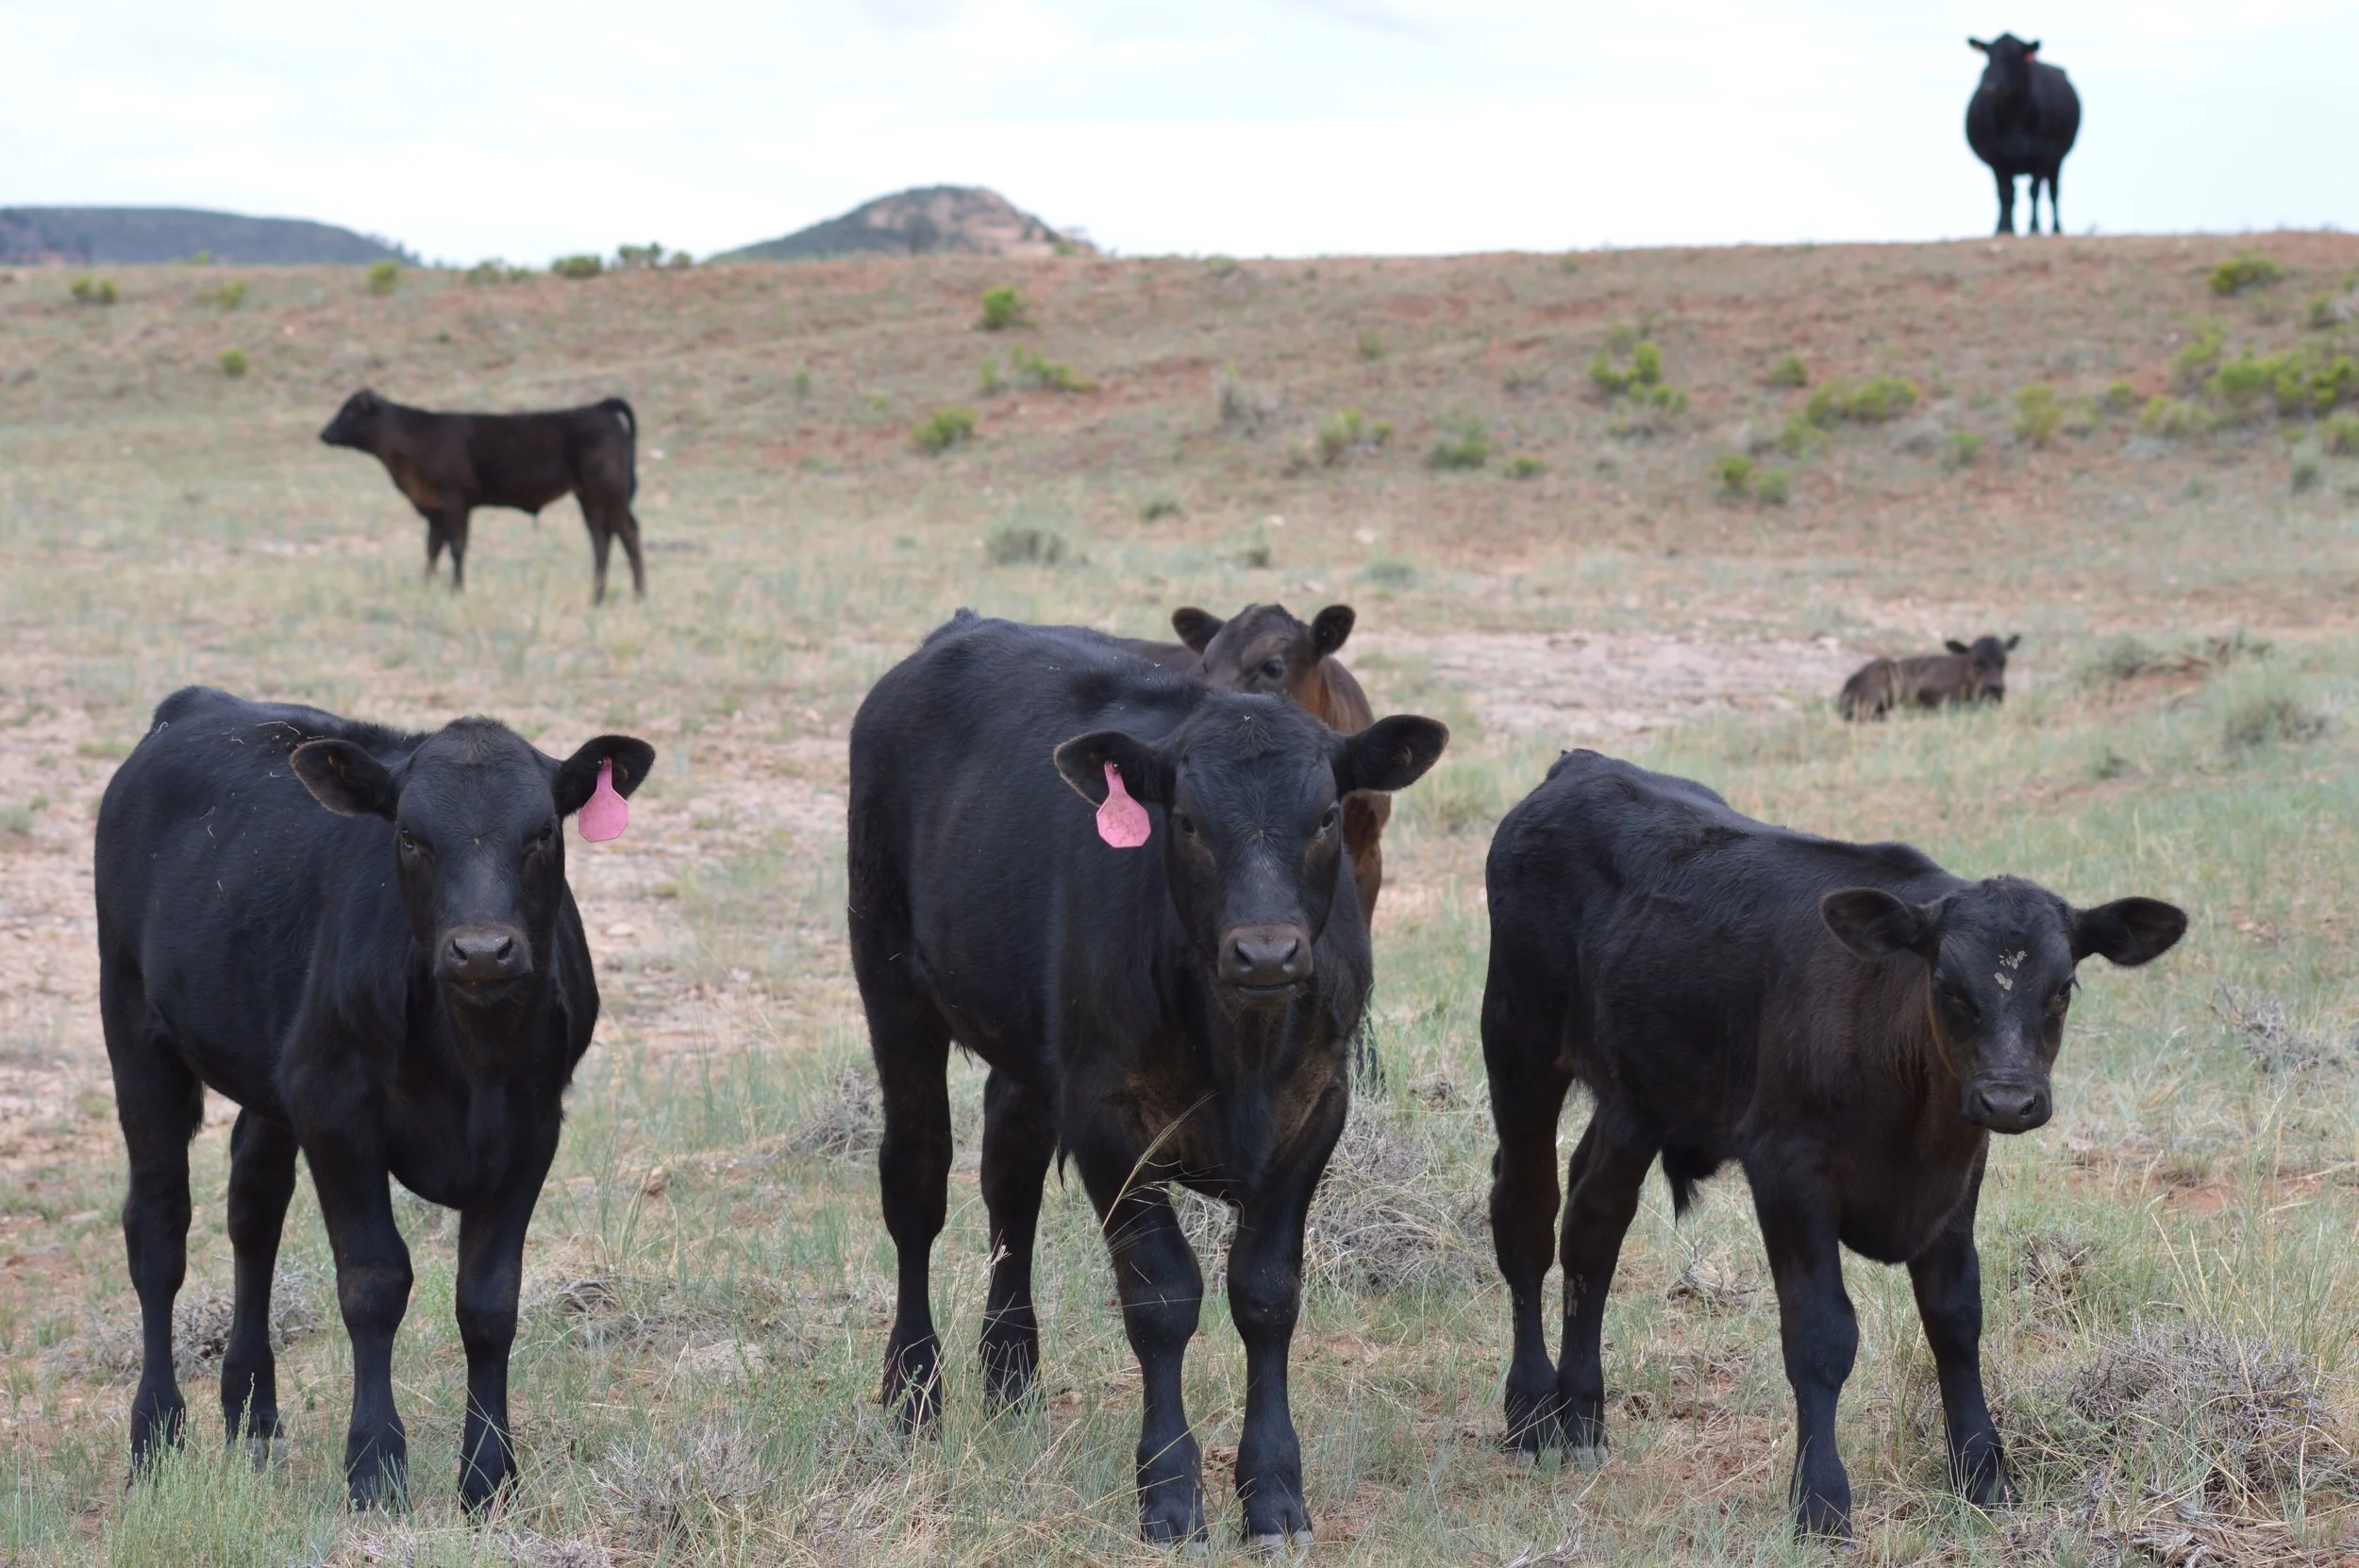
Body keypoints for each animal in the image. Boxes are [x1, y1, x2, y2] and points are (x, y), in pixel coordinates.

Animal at [93, 685, 655, 1510]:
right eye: (411, 837)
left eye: (543, 833)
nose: (482, 951)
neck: (473, 1058)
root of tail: (200, 702)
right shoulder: (335, 1111)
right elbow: (373, 1282)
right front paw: (376, 1467)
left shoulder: (532, 1127)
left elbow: (489, 1301)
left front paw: (489, 1476)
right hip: (135, 1027)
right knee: (158, 1232)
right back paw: (157, 1437)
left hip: (271, 1075)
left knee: (253, 1211)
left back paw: (254, 1420)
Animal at [318, 388, 647, 604]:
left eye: (349, 411)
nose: (324, 433)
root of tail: (599, 408)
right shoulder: (435, 510)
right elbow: (432, 549)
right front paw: (427, 587)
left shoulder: (455, 503)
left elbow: (456, 548)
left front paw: (457, 591)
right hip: (588, 498)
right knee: (601, 540)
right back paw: (597, 597)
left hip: (611, 494)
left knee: (628, 533)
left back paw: (639, 594)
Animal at [847, 612, 1447, 1547]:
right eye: (1188, 821)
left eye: (1323, 816)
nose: (1267, 953)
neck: (1241, 1049)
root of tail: (964, 626)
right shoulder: (1107, 1119)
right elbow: (1162, 1296)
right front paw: (1168, 1489)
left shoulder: (1317, 1109)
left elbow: (1266, 1292)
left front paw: (1273, 1490)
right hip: (890, 977)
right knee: (917, 1184)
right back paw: (914, 1391)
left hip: (1029, 1052)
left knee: (1010, 1182)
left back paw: (1011, 1375)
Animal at [1481, 749, 2184, 1537]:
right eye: (1947, 984)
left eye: (2062, 988)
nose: (2008, 1099)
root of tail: (1582, 764)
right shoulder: (1787, 1168)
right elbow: (1821, 1335)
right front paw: (1820, 1500)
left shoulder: (1957, 1176)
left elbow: (1956, 1319)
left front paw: (1984, 1473)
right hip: (1518, 1041)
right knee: (1526, 1217)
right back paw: (1530, 1411)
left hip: (1638, 1094)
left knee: (1592, 1227)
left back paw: (1580, 1416)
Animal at [1966, 34, 2081, 236]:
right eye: (1988, 57)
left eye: (2014, 58)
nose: (1990, 88)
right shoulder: (1998, 158)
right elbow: (2005, 194)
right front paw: (2005, 229)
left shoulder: (2043, 154)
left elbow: (2034, 191)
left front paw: (2034, 227)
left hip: (2057, 160)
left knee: (2053, 192)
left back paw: (2056, 228)